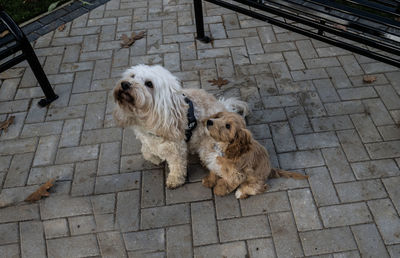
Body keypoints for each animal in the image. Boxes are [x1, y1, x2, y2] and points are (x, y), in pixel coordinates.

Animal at [112, 64, 248, 188]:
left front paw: (174, 180)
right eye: (132, 75)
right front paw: (155, 158)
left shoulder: (176, 149)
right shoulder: (146, 140)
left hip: (208, 149)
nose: (125, 84)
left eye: (149, 84)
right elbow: (146, 152)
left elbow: (177, 166)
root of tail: (224, 107)